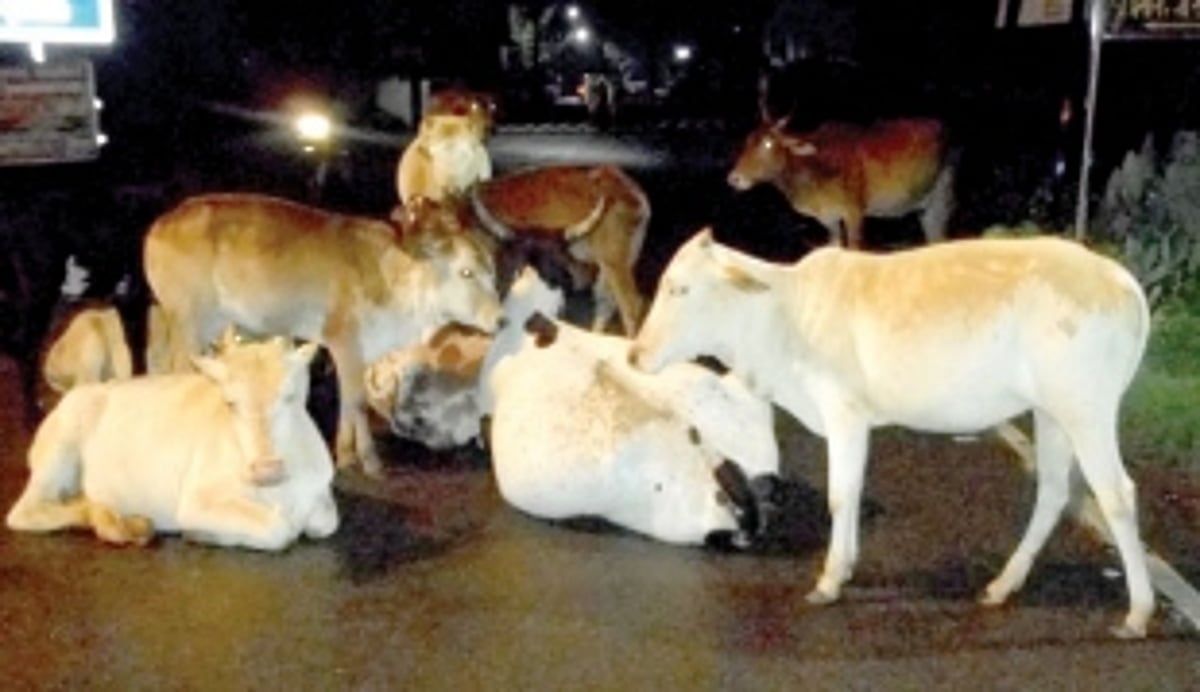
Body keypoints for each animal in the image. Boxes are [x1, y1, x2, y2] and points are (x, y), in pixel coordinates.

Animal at [7, 331, 338, 551]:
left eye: (290, 397)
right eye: (230, 403)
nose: (266, 469)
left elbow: (326, 522)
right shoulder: (197, 502)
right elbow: (278, 529)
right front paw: (201, 535)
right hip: (57, 456)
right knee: (26, 512)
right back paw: (122, 522)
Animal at [143, 193, 501, 477]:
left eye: (491, 271)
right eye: (466, 271)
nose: (500, 319)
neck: (391, 276)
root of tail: (162, 223)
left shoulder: (361, 353)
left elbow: (352, 399)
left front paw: (350, 455)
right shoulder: (343, 341)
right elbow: (357, 402)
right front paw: (362, 459)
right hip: (190, 323)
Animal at [628, 229, 1155, 638]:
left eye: (680, 289)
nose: (635, 353)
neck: (782, 315)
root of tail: (1119, 278)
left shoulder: (843, 411)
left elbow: (840, 495)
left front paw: (829, 581)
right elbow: (852, 491)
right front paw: (844, 568)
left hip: (1086, 408)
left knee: (1118, 495)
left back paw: (1138, 613)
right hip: (1051, 413)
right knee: (1053, 491)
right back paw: (1003, 585)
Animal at [728, 118, 954, 249]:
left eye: (768, 143)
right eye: (747, 142)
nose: (734, 178)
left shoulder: (855, 211)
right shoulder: (828, 218)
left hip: (943, 196)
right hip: (925, 209)